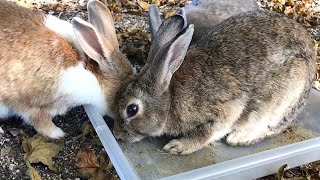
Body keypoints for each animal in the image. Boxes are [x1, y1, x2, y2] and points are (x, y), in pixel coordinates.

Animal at [113, 10, 318, 155]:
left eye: (132, 109)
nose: (117, 134)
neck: (171, 98)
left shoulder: (225, 111)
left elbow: (207, 133)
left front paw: (178, 146)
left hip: (282, 97)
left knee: (269, 127)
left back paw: (239, 137)